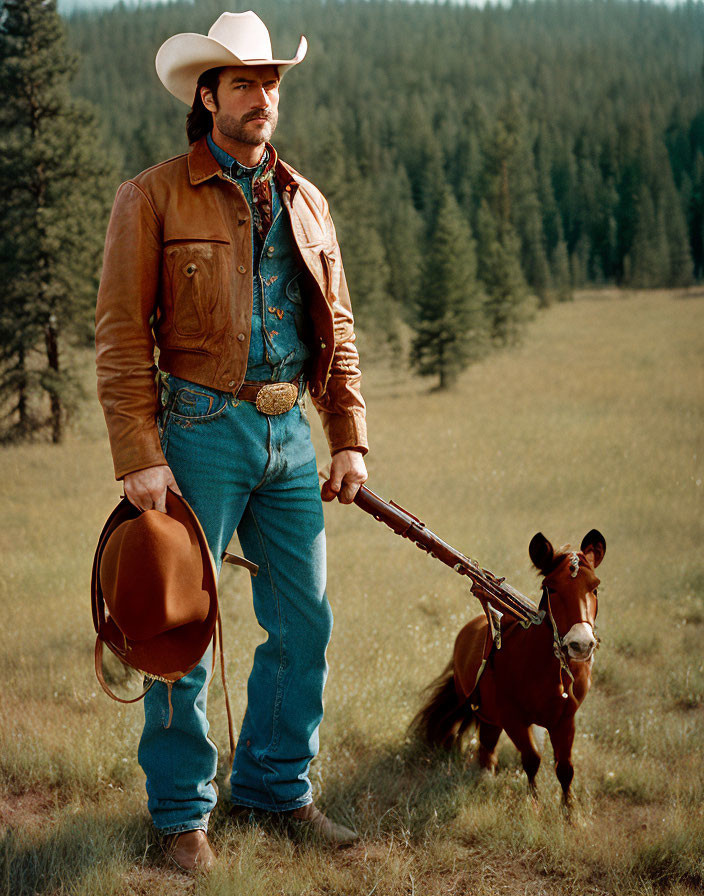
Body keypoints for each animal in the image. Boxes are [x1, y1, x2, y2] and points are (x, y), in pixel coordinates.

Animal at [412, 528, 604, 808]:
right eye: (550, 588)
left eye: (595, 588)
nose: (581, 644)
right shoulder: (513, 719)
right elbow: (532, 759)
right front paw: (534, 805)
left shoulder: (565, 720)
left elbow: (565, 769)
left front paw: (570, 812)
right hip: (488, 714)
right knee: (487, 744)